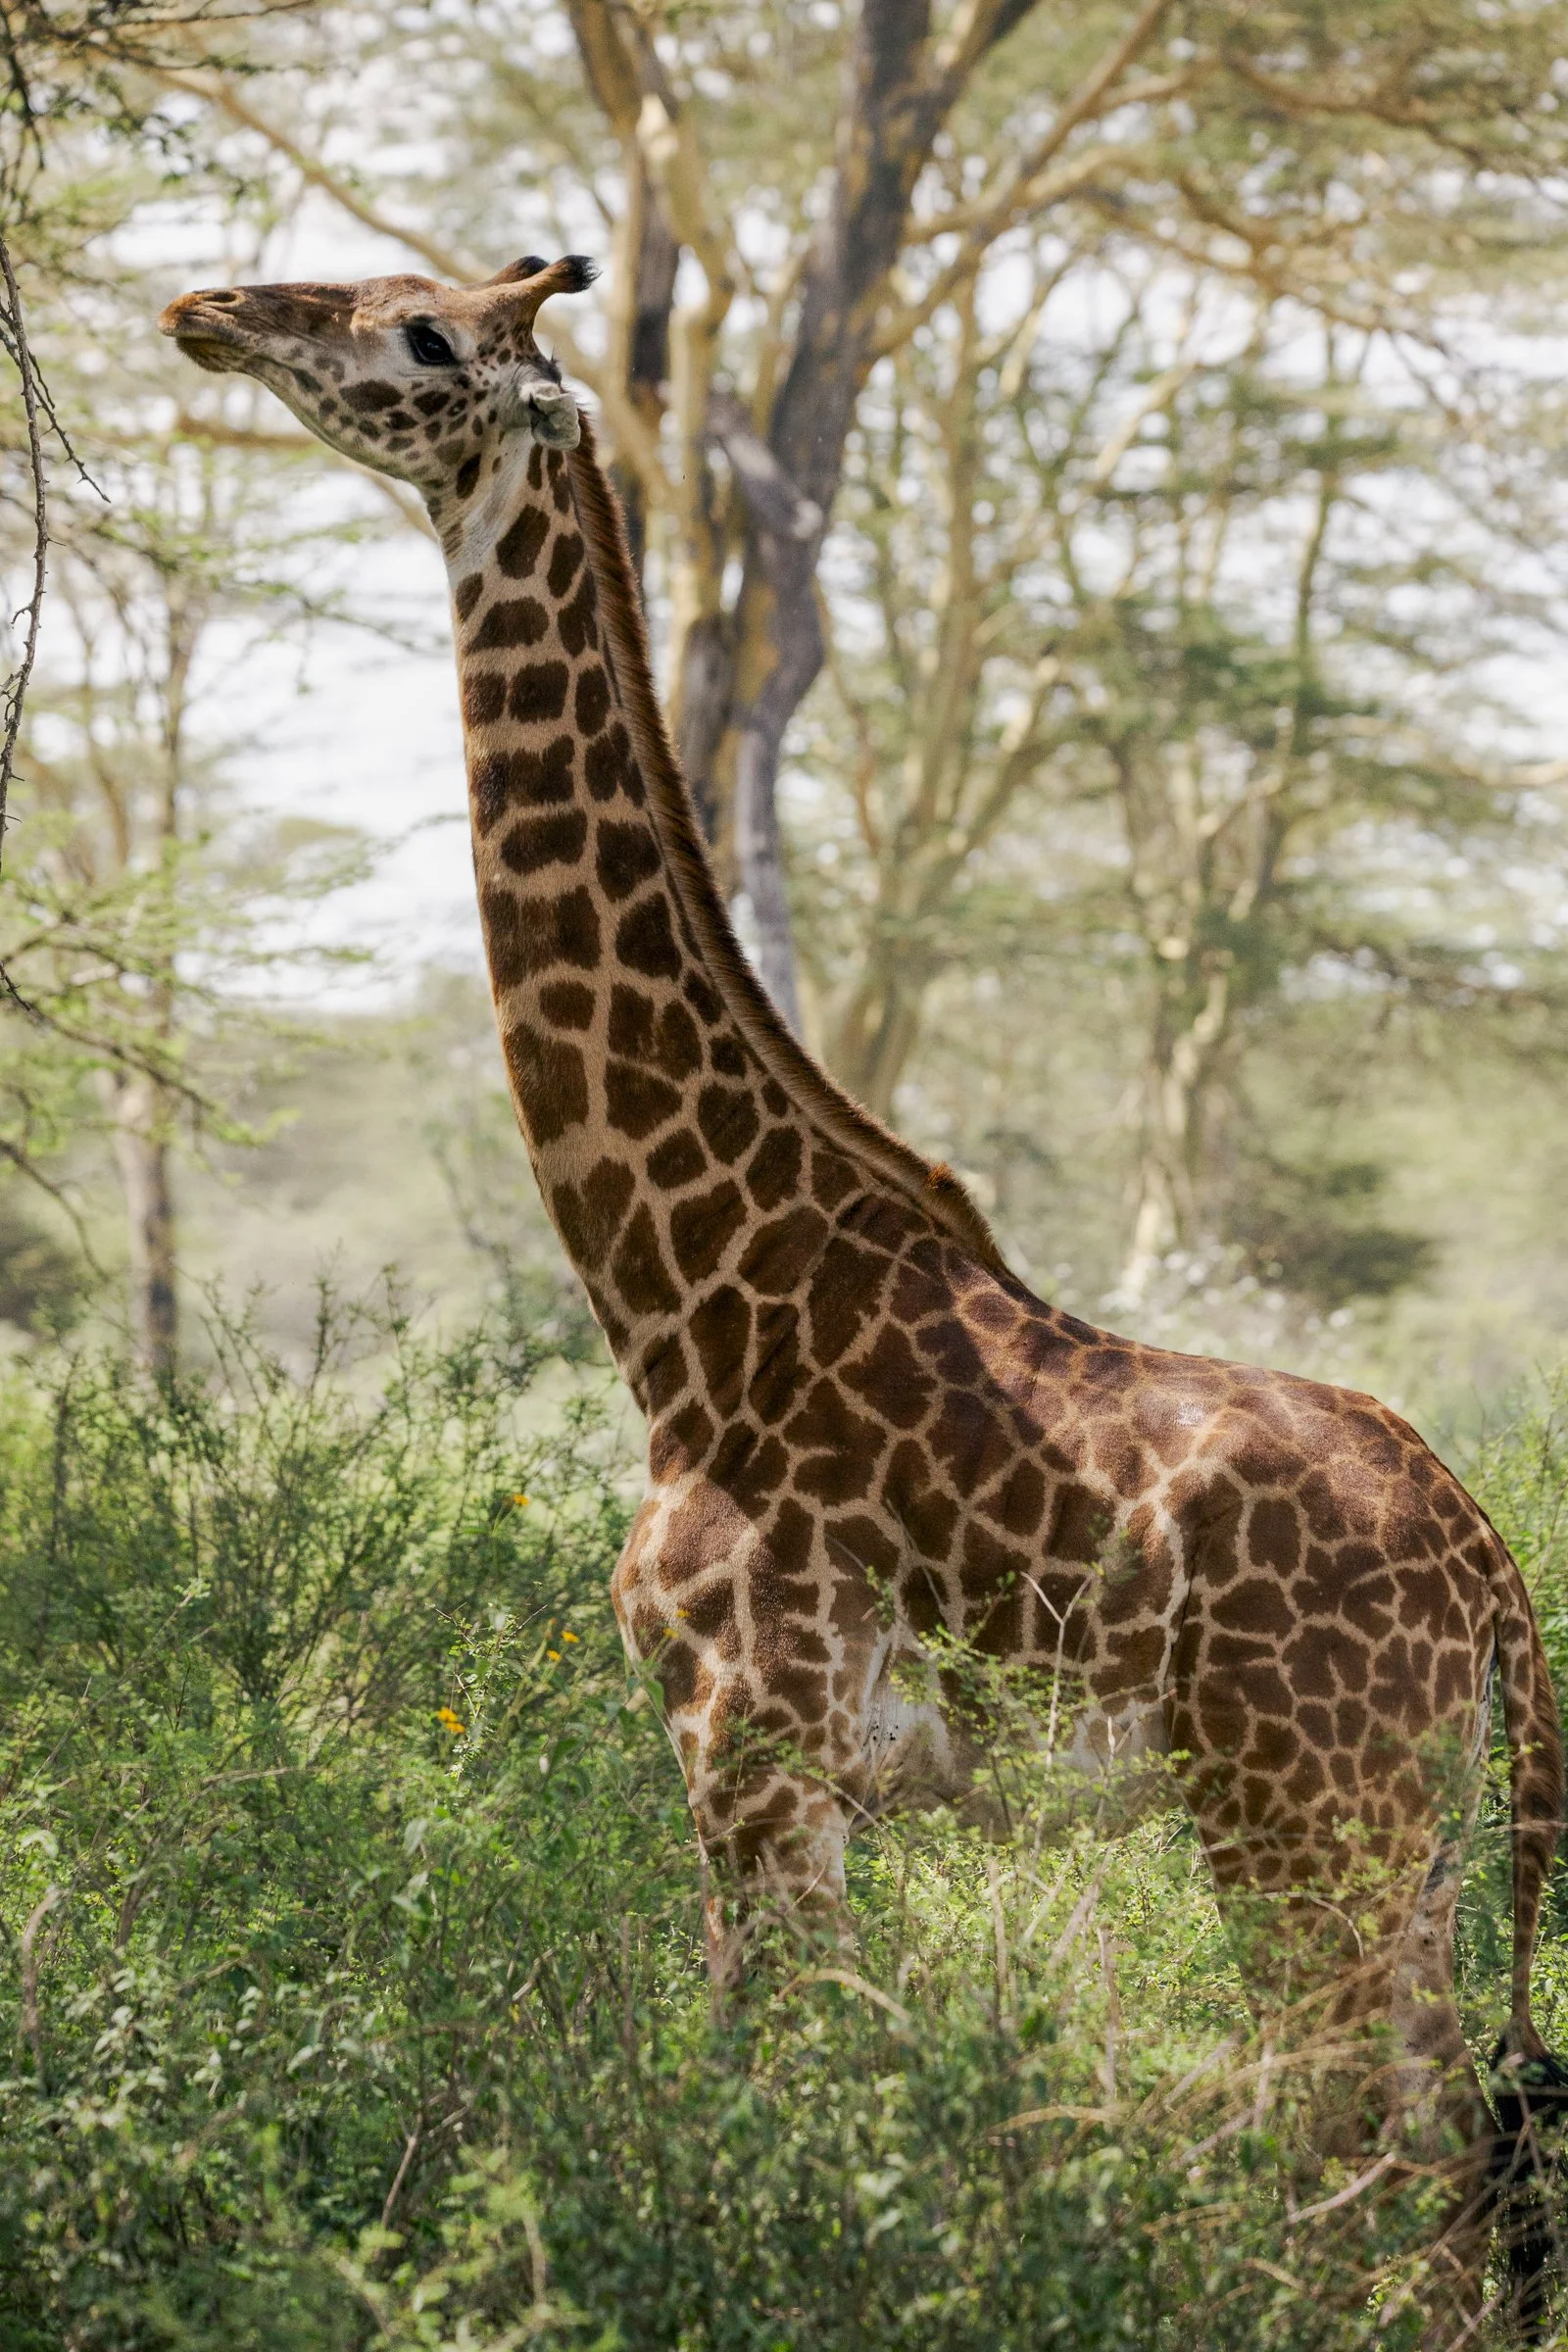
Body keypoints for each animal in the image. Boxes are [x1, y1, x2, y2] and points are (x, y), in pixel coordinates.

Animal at [160, 254, 1566, 2328]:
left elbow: (780, 2102)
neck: (684, 1301)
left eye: (423, 334)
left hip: (1304, 1819)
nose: (205, 308)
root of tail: (1490, 1575)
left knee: (1388, 2178)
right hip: (1417, 1841)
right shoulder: (806, 1781)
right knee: (1444, 2174)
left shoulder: (745, 1745)